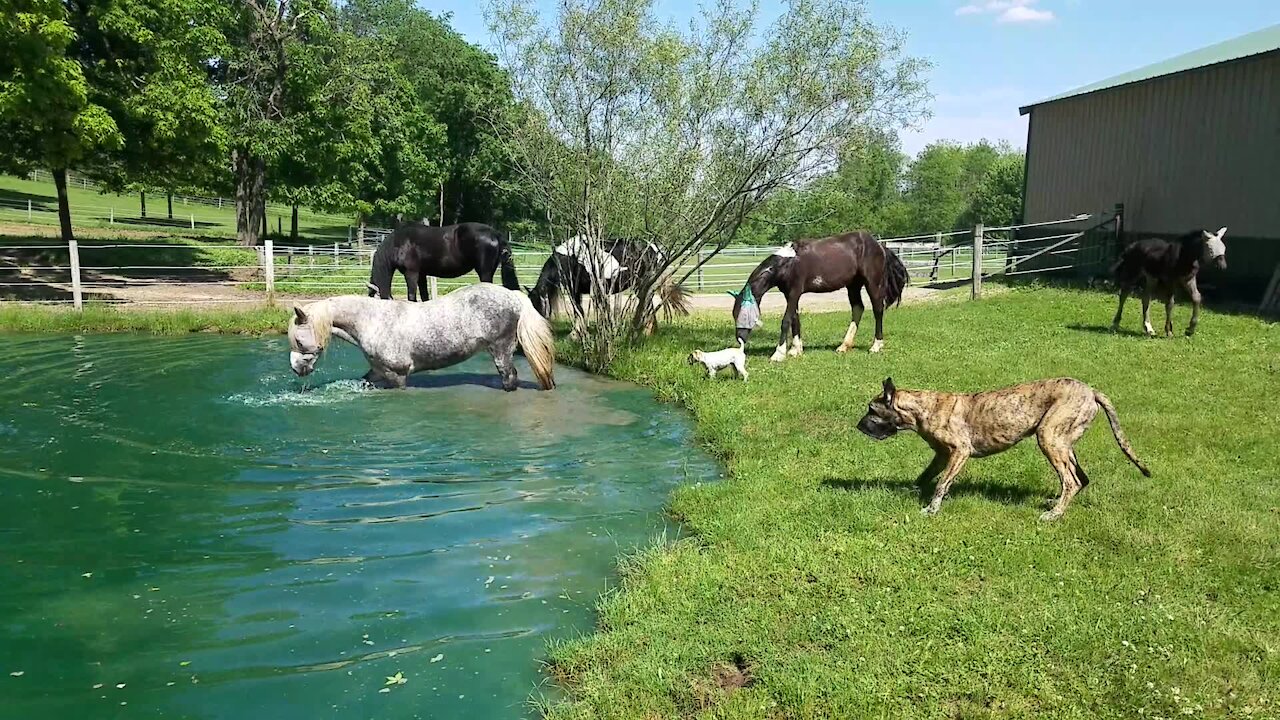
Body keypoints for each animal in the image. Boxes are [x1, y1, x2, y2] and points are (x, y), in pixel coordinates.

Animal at [290, 281, 555, 392]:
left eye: (300, 341)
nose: (296, 369)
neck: (372, 321)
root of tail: (513, 296)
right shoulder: (377, 371)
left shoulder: (397, 376)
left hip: (501, 351)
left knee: (510, 378)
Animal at [524, 237, 691, 335]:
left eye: (537, 306)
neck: (571, 257)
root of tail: (654, 248)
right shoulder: (577, 290)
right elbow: (580, 310)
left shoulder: (581, 289)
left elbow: (581, 310)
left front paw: (576, 335)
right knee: (647, 304)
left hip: (643, 283)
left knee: (647, 304)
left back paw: (646, 332)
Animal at [860, 371, 1152, 517]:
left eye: (872, 410)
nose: (858, 426)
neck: (922, 408)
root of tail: (1091, 391)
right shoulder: (941, 455)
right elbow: (925, 477)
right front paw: (912, 491)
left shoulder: (959, 452)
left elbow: (942, 483)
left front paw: (931, 509)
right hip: (1064, 444)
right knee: (1081, 478)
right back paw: (1056, 503)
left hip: (1049, 437)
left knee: (1071, 481)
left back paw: (1054, 514)